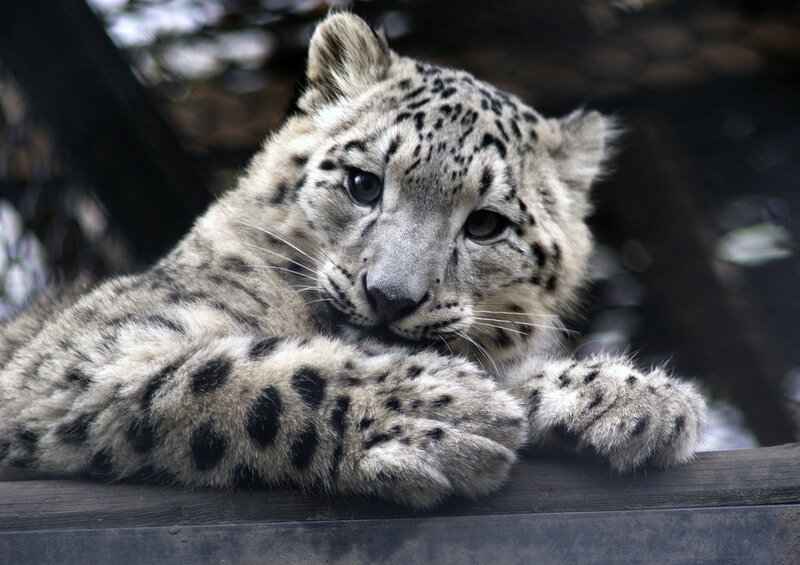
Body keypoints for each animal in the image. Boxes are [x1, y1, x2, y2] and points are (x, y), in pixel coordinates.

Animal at [0, 13, 706, 508]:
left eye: (485, 224)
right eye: (364, 183)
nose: (391, 296)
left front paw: (635, 399)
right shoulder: (79, 359)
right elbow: (230, 374)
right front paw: (434, 409)